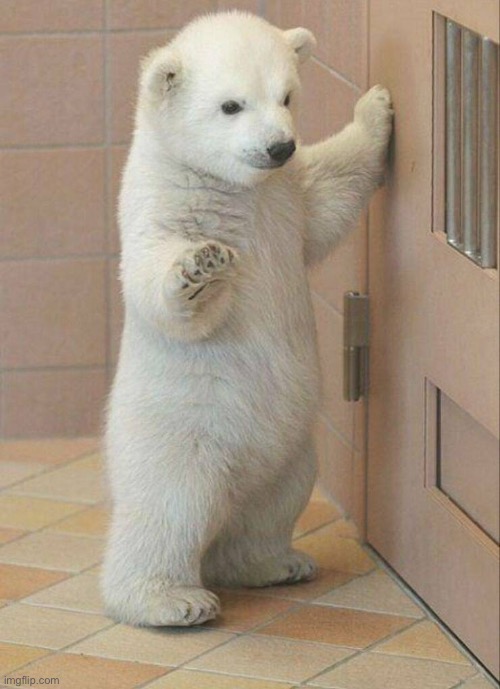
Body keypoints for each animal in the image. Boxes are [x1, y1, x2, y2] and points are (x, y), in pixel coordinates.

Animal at [101, 10, 393, 627]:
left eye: (286, 96)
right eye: (230, 105)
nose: (279, 145)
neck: (228, 187)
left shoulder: (284, 199)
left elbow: (328, 192)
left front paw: (376, 106)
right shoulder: (162, 204)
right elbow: (155, 286)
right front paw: (199, 266)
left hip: (291, 451)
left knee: (272, 505)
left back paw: (274, 563)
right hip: (176, 438)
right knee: (169, 512)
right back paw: (170, 600)